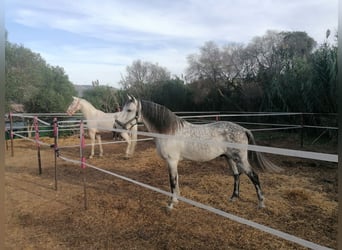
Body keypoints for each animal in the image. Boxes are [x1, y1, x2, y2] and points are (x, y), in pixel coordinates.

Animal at [116, 95, 282, 209]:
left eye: (129, 110)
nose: (117, 125)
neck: (169, 132)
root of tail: (243, 129)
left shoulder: (171, 161)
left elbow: (172, 181)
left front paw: (171, 204)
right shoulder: (174, 162)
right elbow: (177, 179)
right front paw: (178, 198)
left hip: (240, 158)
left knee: (254, 176)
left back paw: (261, 203)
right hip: (229, 158)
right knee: (236, 176)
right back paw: (233, 198)